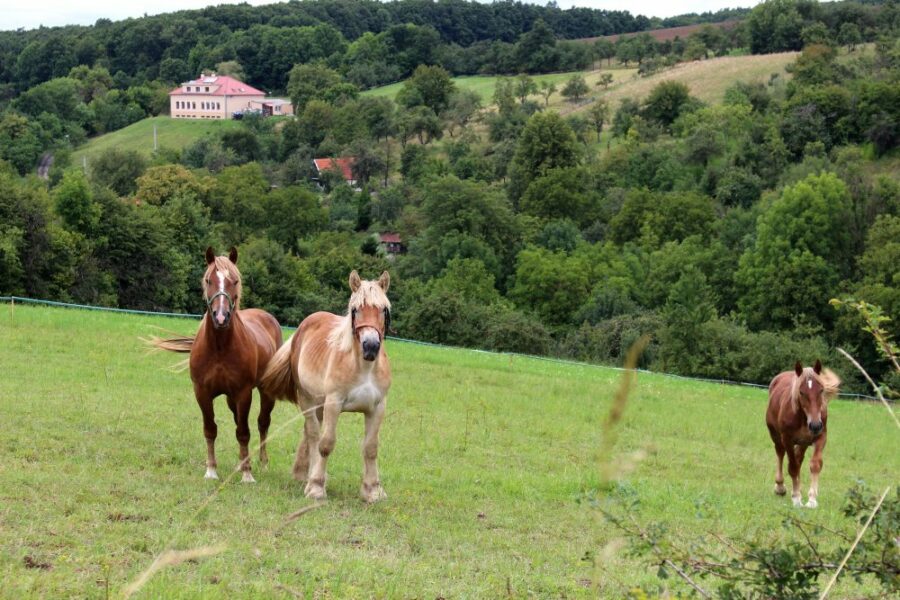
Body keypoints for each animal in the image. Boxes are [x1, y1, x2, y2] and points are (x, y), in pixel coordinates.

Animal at [149, 247, 282, 482]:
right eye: (209, 280)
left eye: (235, 280)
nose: (221, 317)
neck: (220, 347)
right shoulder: (202, 392)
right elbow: (211, 429)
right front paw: (211, 470)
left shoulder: (243, 393)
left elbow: (244, 432)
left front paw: (247, 474)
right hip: (230, 399)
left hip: (265, 392)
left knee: (262, 423)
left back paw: (262, 463)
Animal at [256, 270, 390, 502]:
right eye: (355, 309)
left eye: (383, 309)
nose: (371, 346)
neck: (364, 368)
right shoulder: (334, 404)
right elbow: (326, 444)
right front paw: (317, 487)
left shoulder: (377, 407)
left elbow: (371, 448)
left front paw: (372, 490)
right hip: (308, 400)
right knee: (313, 434)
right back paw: (311, 477)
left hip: (319, 404)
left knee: (309, 432)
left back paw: (303, 473)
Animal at [768, 360, 840, 506]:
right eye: (801, 392)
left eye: (821, 390)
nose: (815, 425)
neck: (803, 417)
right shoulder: (787, 440)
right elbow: (792, 467)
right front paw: (796, 498)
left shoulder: (820, 437)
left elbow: (815, 464)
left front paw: (812, 499)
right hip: (776, 436)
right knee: (780, 454)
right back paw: (780, 487)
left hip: (803, 442)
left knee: (798, 458)